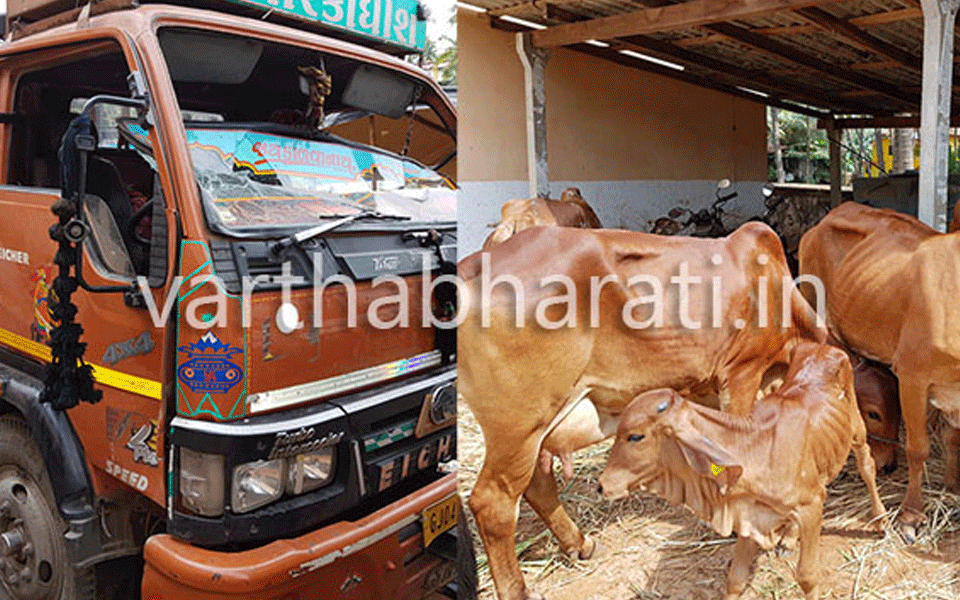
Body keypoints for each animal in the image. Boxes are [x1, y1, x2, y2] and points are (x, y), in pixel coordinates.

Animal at [460, 221, 824, 600]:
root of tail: (472, 266)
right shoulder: (741, 373)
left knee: (537, 484)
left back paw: (580, 544)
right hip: (520, 425)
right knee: (493, 503)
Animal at [600, 342, 884, 600]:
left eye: (635, 436)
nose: (602, 485)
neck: (754, 453)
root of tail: (824, 348)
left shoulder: (811, 505)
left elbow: (807, 577)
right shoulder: (749, 516)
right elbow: (735, 580)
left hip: (856, 428)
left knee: (867, 466)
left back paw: (880, 520)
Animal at [800, 203, 960, 536]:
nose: (888, 466)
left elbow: (953, 436)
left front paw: (953, 487)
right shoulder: (913, 378)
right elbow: (918, 449)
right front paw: (911, 515)